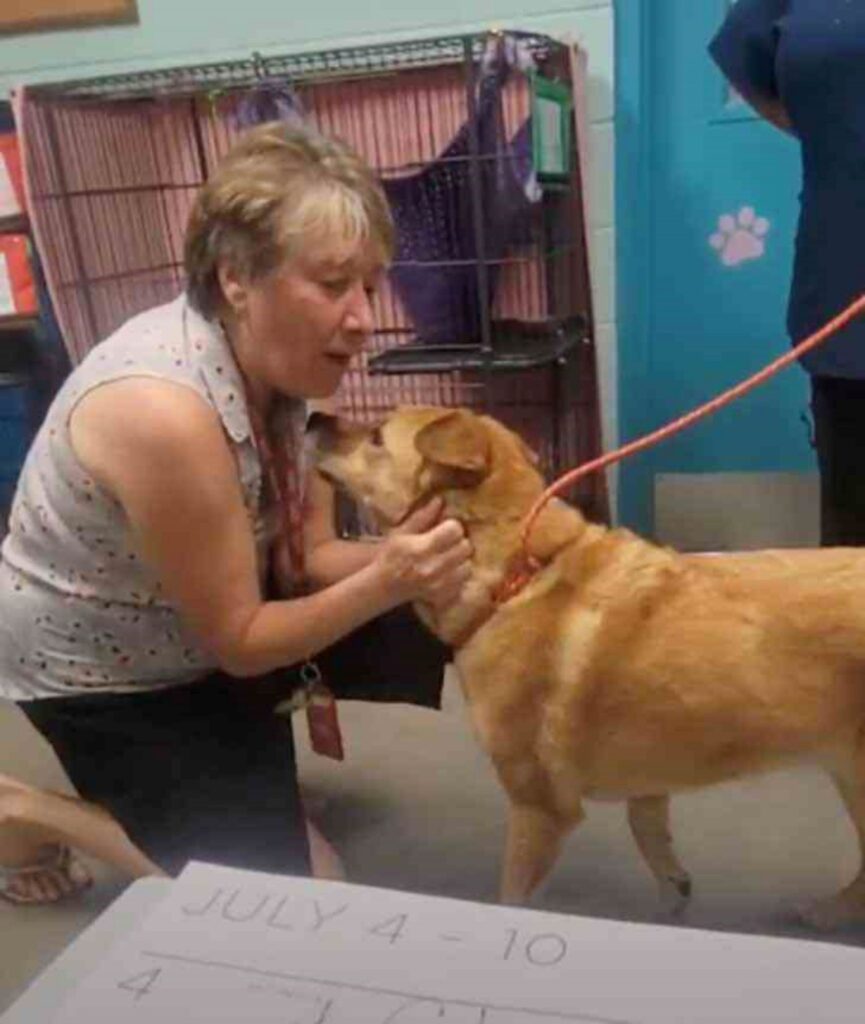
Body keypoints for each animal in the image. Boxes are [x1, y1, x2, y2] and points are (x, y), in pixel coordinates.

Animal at [311, 405, 865, 929]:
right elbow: (650, 833)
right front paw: (674, 894)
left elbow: (513, 895)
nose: (314, 416)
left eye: (377, 435)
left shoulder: (539, 810)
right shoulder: (647, 772)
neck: (518, 577)